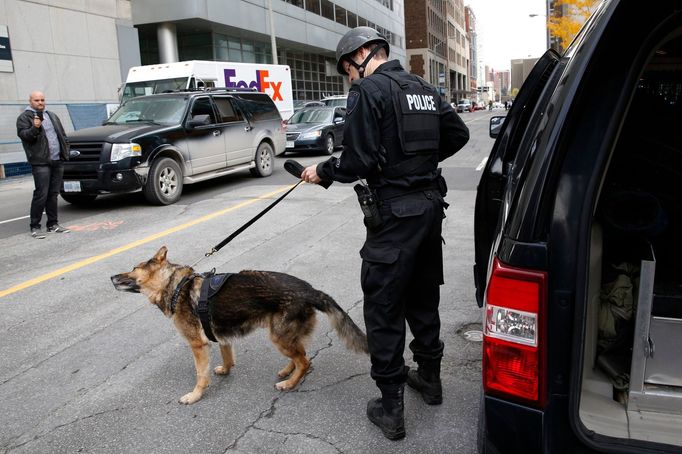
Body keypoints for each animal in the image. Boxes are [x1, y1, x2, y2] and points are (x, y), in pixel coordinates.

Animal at [111, 245, 366, 404]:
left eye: (133, 268)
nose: (111, 277)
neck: (175, 286)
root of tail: (310, 290)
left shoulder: (198, 346)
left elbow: (200, 375)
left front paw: (195, 396)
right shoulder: (220, 337)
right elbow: (227, 357)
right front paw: (225, 370)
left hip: (279, 337)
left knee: (305, 361)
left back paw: (290, 383)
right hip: (285, 336)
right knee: (301, 354)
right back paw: (288, 371)